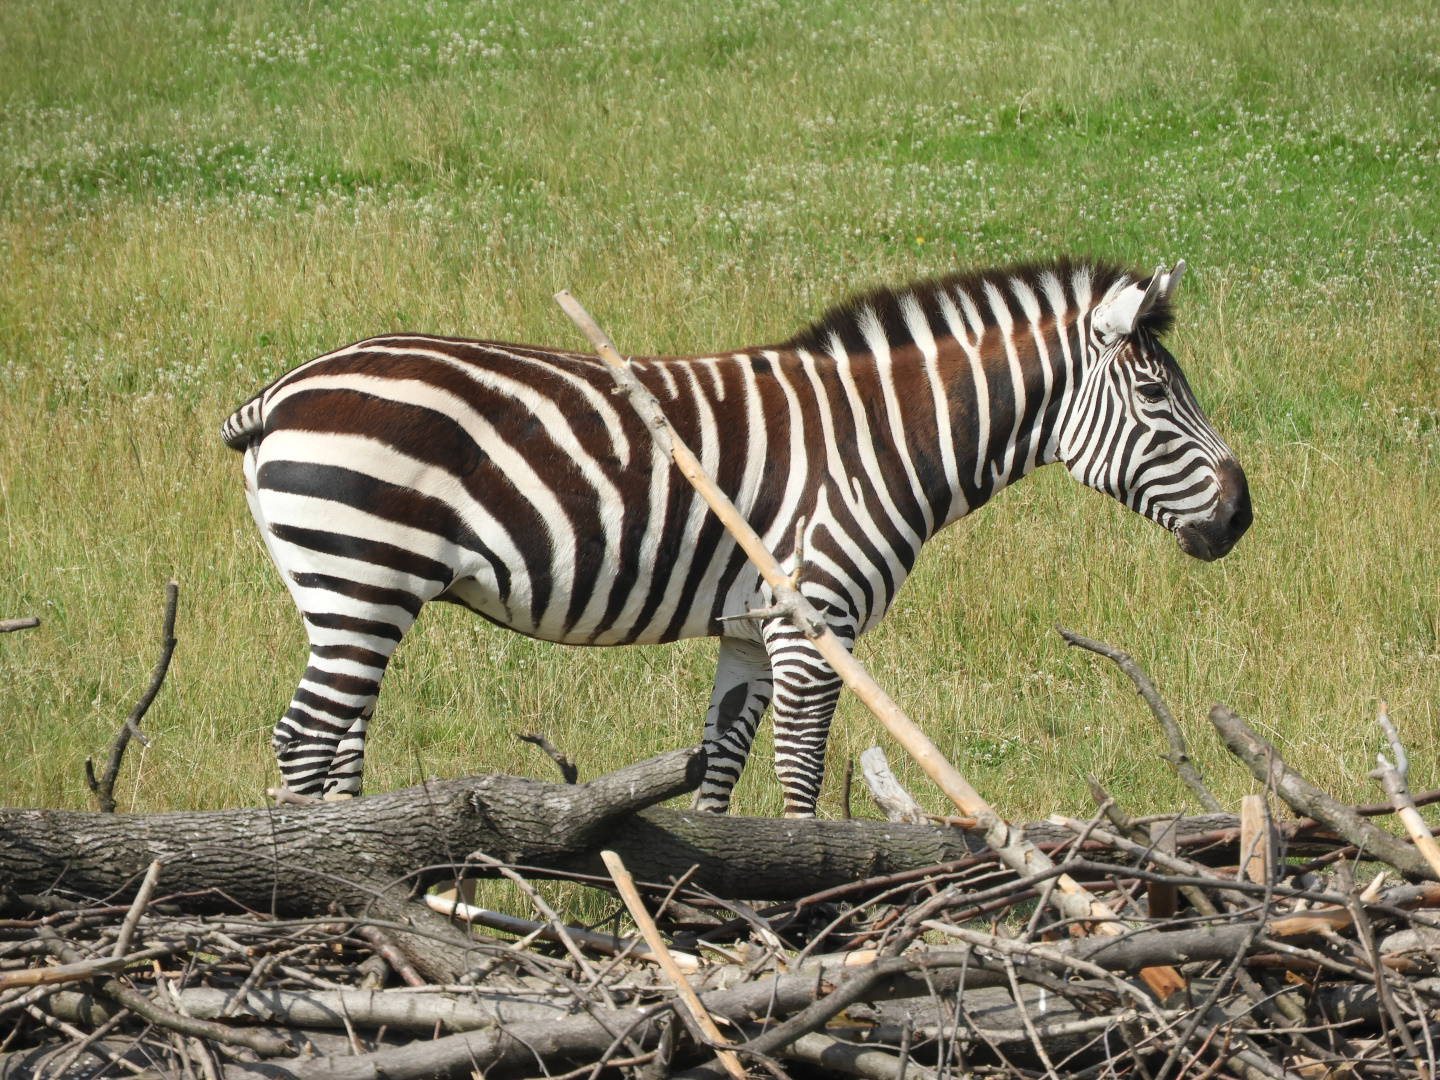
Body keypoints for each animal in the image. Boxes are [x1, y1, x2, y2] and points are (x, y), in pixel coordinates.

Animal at [221, 257, 1250, 816]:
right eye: (1155, 394)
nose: (1241, 515)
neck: (883, 440)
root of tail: (282, 392)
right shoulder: (813, 620)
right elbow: (800, 771)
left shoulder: (751, 629)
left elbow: (719, 767)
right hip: (363, 577)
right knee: (303, 737)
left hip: (352, 595)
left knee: (338, 741)